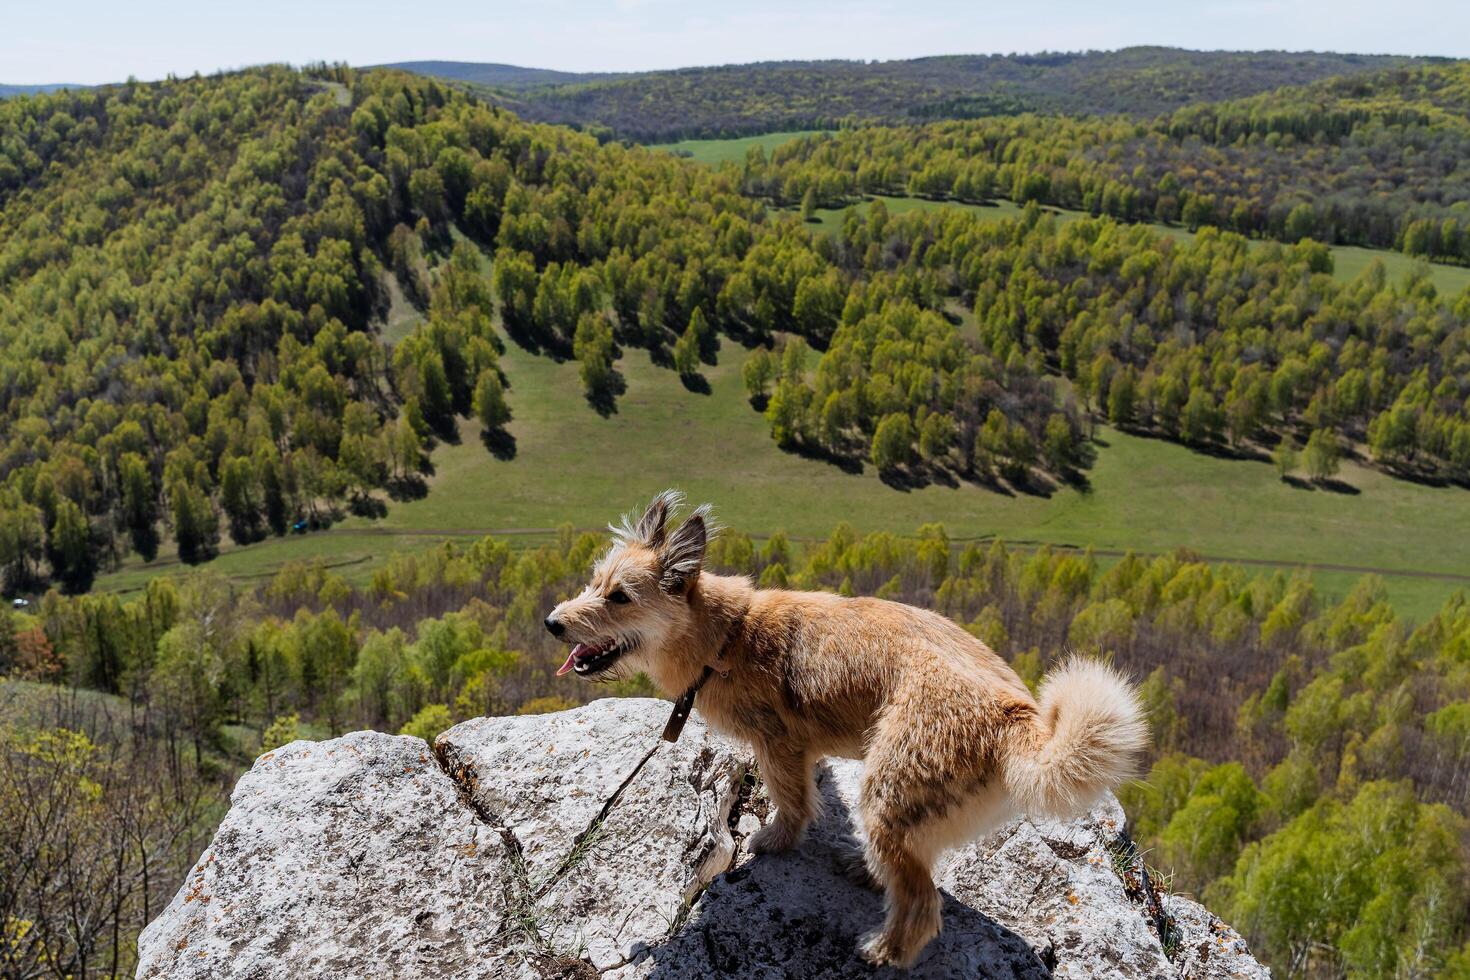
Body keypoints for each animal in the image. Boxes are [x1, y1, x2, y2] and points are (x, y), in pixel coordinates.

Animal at [543, 490, 1146, 963]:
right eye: (594, 583)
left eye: (620, 596)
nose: (551, 622)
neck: (727, 636)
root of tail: (1016, 720)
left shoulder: (778, 745)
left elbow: (791, 801)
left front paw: (774, 841)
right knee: (914, 867)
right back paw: (866, 868)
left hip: (887, 788)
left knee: (922, 903)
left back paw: (885, 951)